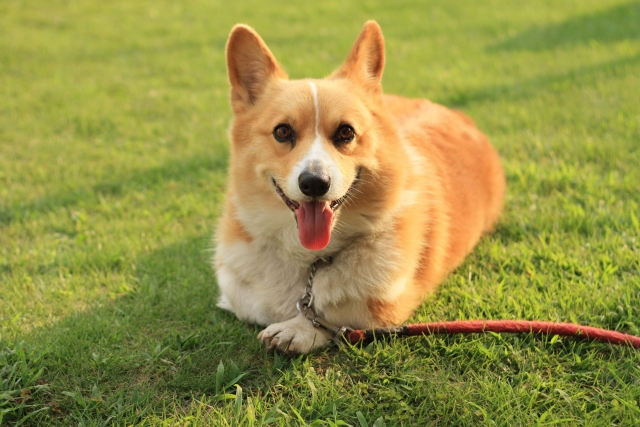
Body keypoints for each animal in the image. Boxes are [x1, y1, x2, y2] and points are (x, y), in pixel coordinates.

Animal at [215, 20, 504, 354]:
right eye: (282, 131)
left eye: (346, 132)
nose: (314, 183)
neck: (310, 260)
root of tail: (460, 116)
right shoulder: (237, 281)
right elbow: (250, 302)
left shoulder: (383, 305)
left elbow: (333, 312)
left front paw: (296, 329)